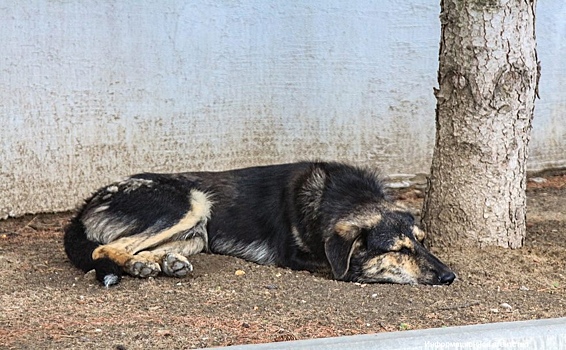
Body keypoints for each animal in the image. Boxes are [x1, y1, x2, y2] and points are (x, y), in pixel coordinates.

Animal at [64, 161, 458, 288]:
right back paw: (140, 265)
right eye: (398, 249)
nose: (449, 276)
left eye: (422, 242)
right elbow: (348, 269)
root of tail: (86, 204)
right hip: (189, 201)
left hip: (198, 230)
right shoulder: (298, 258)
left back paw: (161, 263)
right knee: (105, 247)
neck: (343, 196)